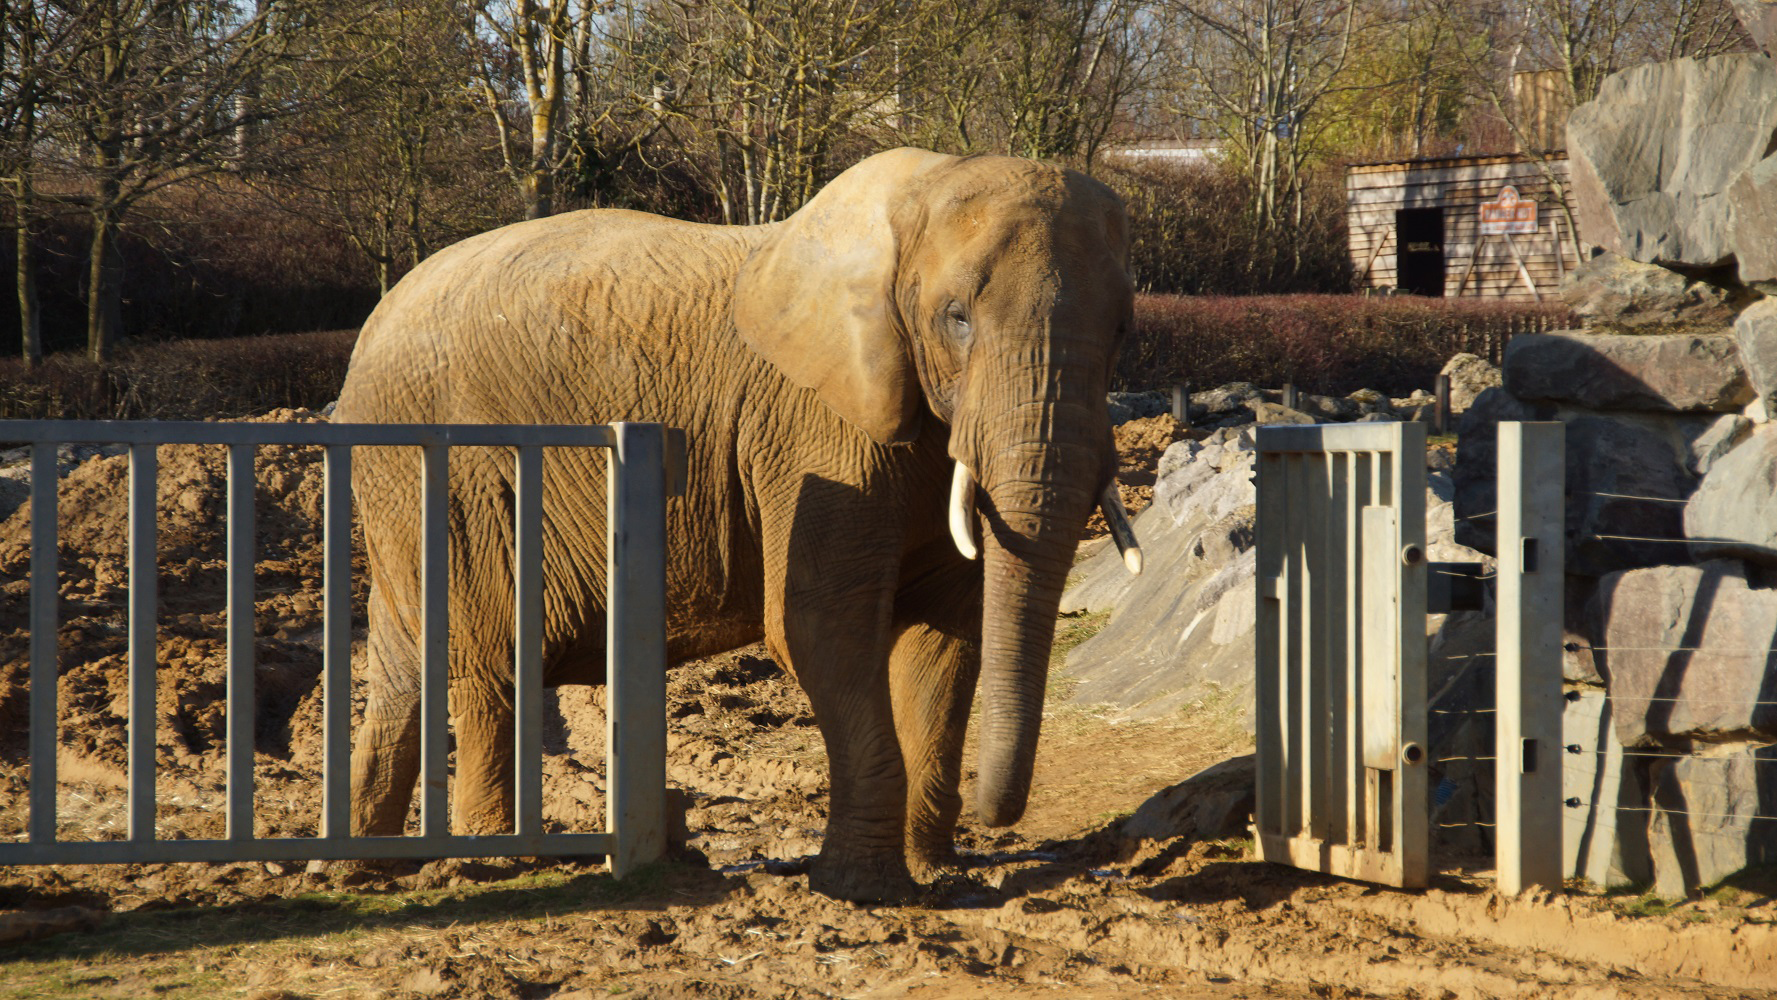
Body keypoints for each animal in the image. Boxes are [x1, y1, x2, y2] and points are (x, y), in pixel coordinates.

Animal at [330, 148, 1137, 909]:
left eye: (1122, 329)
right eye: (956, 318)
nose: (995, 813)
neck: (919, 190)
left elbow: (945, 637)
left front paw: (932, 877)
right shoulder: (814, 430)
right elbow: (821, 625)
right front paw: (864, 892)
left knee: (405, 663)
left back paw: (360, 869)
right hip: (452, 471)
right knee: (493, 660)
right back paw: (491, 861)